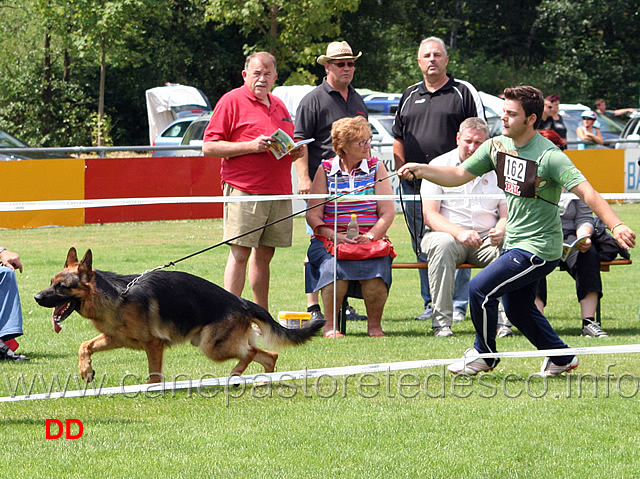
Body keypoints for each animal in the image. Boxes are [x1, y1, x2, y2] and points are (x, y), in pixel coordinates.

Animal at [35, 249, 324, 384]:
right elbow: (84, 346)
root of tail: (241, 301)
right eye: (51, 282)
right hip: (214, 343)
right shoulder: (116, 338)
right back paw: (259, 377)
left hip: (211, 346)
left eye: (62, 287)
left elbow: (154, 375)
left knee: (252, 352)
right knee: (268, 354)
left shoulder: (153, 345)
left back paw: (236, 374)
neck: (117, 296)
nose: (36, 297)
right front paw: (86, 371)